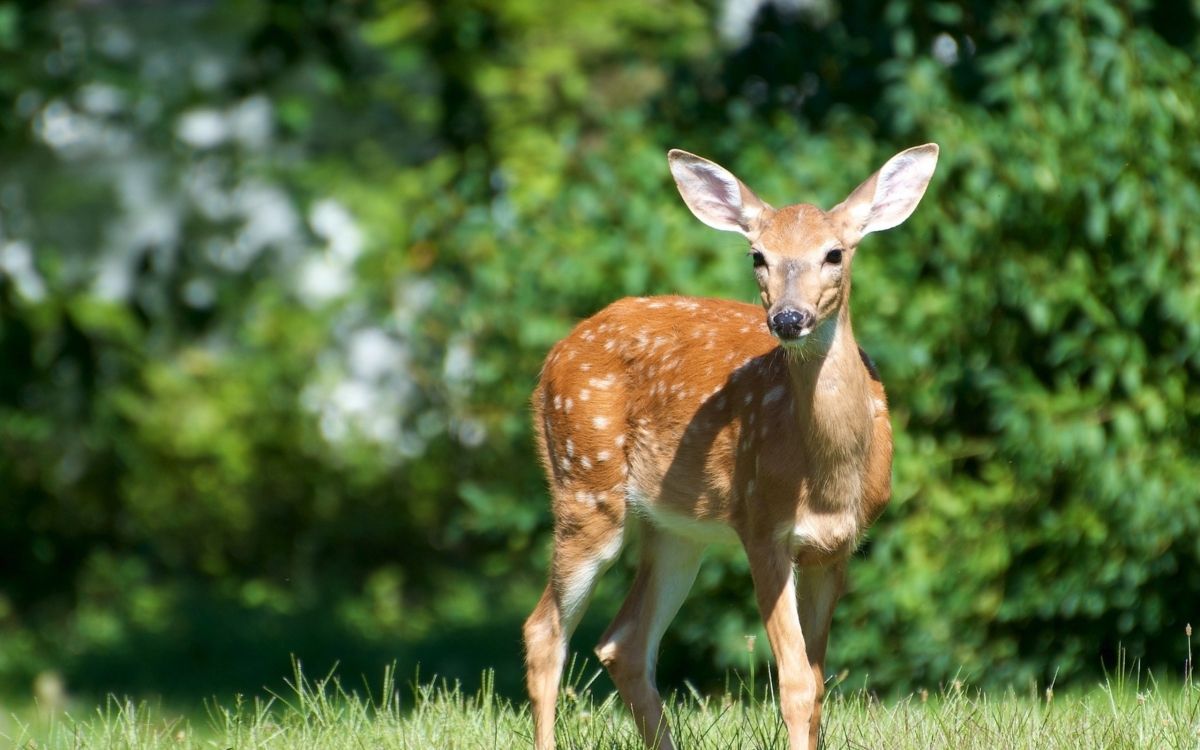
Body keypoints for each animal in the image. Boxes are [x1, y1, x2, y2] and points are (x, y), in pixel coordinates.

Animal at [523, 143, 939, 750]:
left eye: (834, 253)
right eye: (757, 256)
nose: (788, 318)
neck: (827, 478)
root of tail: (552, 357)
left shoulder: (836, 546)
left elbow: (819, 685)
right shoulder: (760, 523)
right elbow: (794, 684)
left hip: (677, 528)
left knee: (623, 642)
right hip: (585, 485)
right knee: (545, 631)